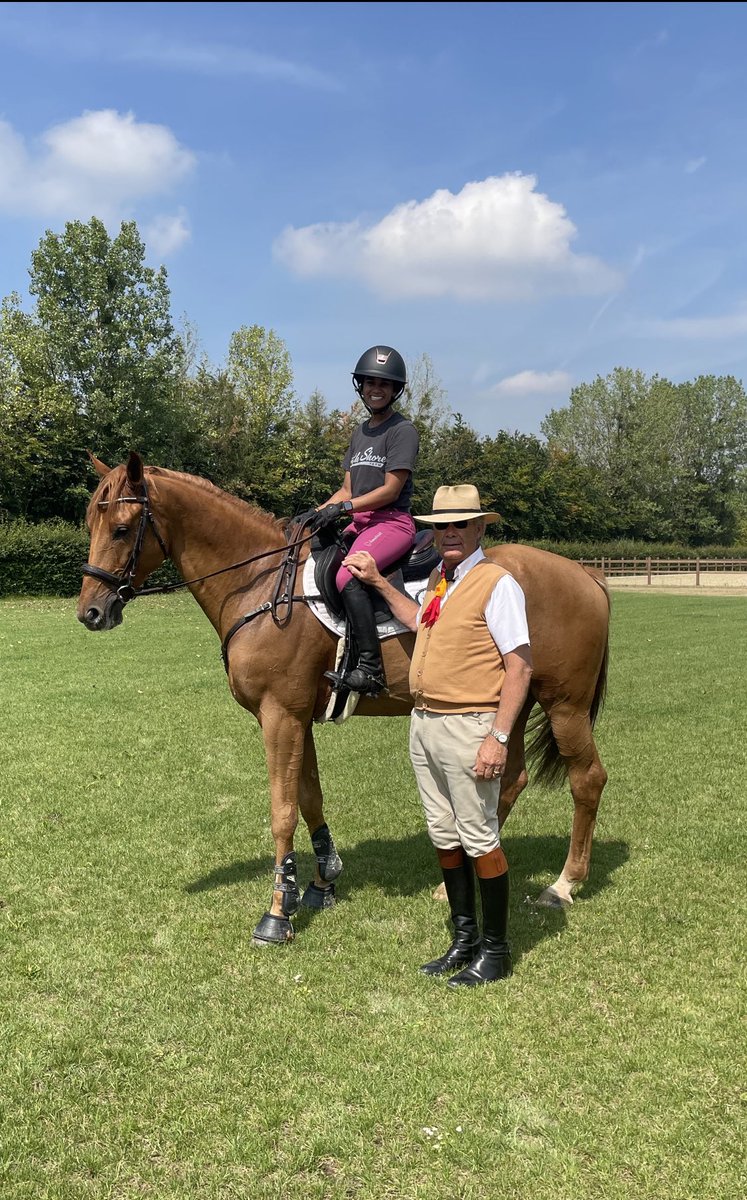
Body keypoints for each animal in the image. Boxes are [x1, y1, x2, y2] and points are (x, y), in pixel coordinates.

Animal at [77, 451, 610, 946]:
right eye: (90, 524)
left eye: (122, 529)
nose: (90, 613)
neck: (262, 582)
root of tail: (586, 575)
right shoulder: (294, 717)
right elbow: (309, 797)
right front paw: (320, 882)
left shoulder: (280, 716)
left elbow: (283, 811)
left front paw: (278, 912)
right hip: (510, 706)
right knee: (509, 780)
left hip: (563, 705)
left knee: (587, 779)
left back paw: (563, 885)